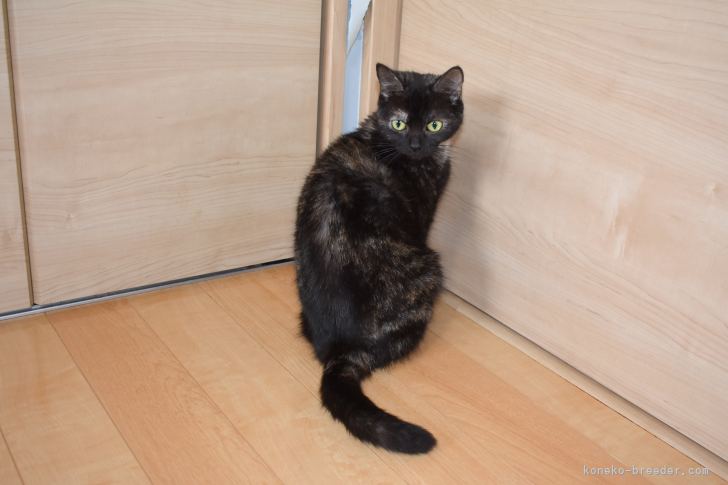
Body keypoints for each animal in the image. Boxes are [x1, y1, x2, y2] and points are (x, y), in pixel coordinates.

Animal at [294, 63, 464, 454]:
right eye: (399, 124)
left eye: (434, 124)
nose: (415, 145)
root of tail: (343, 349)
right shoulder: (422, 220)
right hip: (429, 270)